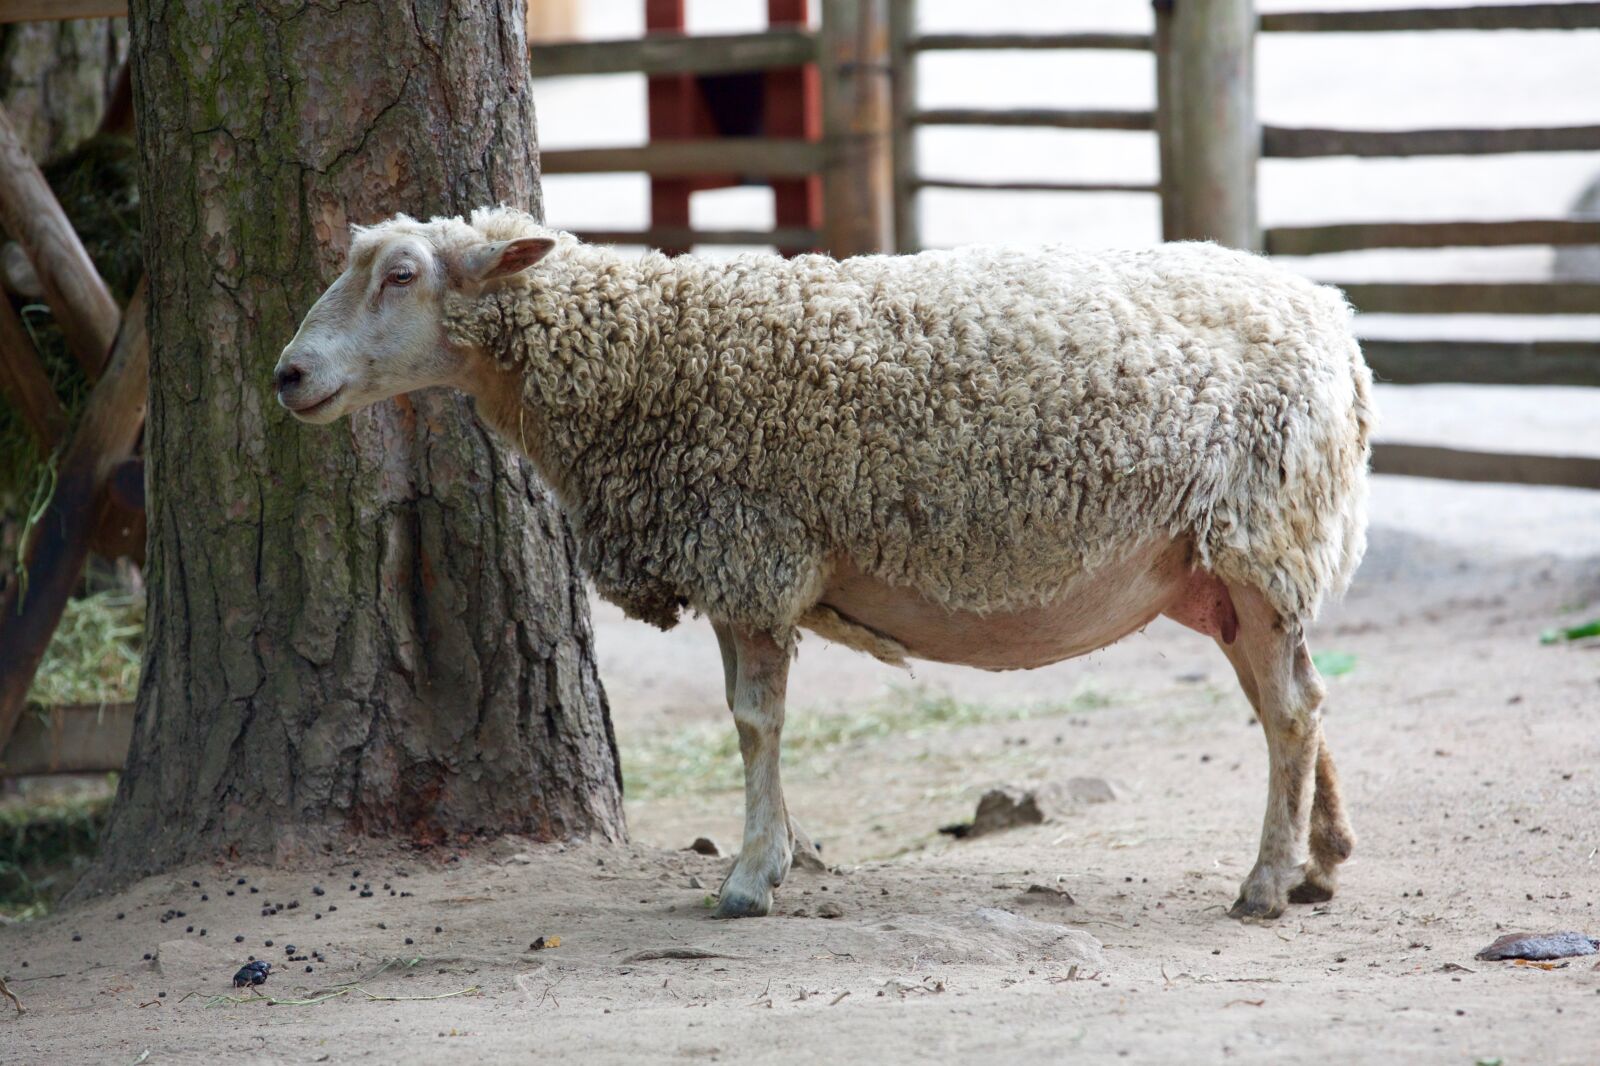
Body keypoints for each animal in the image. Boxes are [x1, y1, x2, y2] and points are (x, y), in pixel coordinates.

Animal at [275, 206, 1374, 922]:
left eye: (402, 274)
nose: (288, 374)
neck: (639, 358)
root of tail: (1337, 321)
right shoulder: (739, 561)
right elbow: (752, 722)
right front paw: (780, 855)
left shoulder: (749, 552)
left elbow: (754, 723)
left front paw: (751, 875)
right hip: (1218, 567)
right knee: (1299, 700)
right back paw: (1318, 861)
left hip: (1264, 534)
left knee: (1291, 710)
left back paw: (1265, 886)